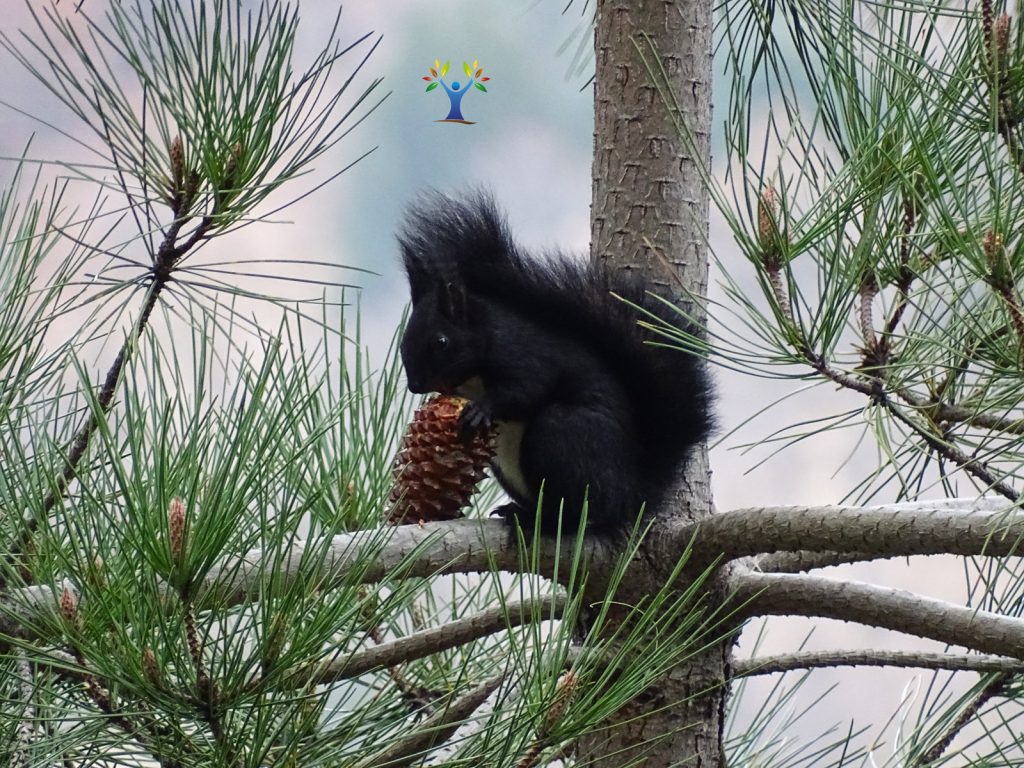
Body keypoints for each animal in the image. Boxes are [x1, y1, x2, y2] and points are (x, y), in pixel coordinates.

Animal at [397, 192, 713, 535]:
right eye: (403, 343)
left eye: (441, 341)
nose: (415, 385)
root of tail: (631, 495)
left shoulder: (525, 353)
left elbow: (527, 387)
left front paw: (483, 408)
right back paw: (521, 511)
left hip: (562, 434)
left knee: (583, 511)